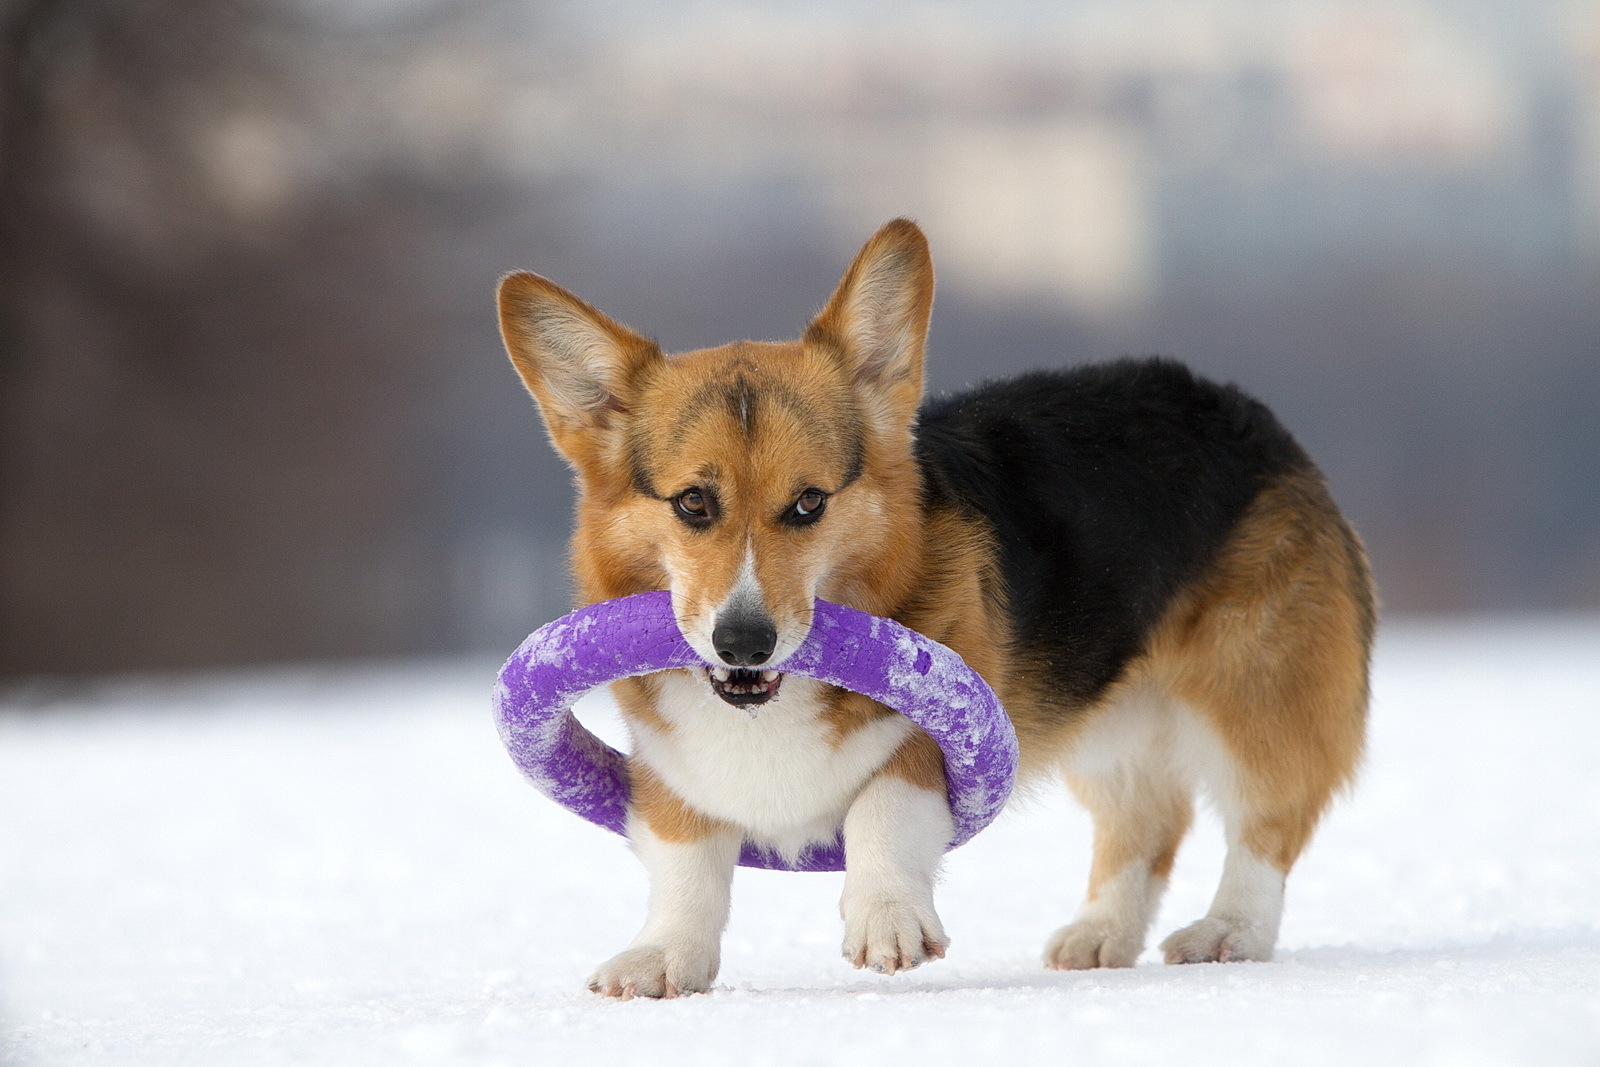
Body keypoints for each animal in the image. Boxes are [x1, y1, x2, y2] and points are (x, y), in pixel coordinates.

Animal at [496, 219, 1376, 1004]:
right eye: (691, 503)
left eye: (809, 502)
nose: (744, 642)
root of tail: (1242, 409)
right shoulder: (670, 763)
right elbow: (684, 863)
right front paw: (662, 958)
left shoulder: (937, 725)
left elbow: (882, 804)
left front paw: (886, 919)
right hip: (1110, 719)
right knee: (1147, 823)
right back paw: (1101, 932)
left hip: (1256, 690)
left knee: (1267, 820)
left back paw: (1230, 930)